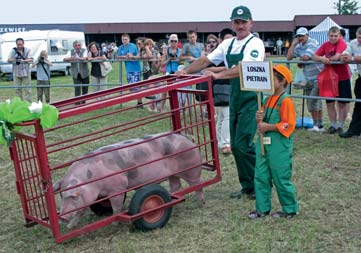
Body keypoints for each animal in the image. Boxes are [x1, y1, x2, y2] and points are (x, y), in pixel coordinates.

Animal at [52, 131, 204, 228]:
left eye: (73, 196)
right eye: (62, 195)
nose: (62, 216)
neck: (92, 179)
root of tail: (186, 137)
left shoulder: (118, 187)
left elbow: (117, 207)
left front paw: (114, 222)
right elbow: (80, 211)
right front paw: (70, 227)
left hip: (192, 167)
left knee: (198, 184)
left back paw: (201, 204)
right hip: (174, 174)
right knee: (176, 185)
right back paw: (176, 204)